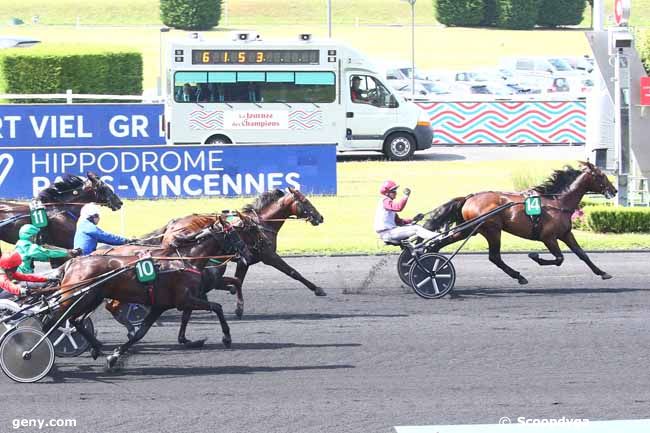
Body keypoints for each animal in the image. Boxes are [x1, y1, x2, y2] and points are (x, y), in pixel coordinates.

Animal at [52, 214, 246, 366]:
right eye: (233, 233)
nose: (245, 252)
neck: (185, 260)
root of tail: (73, 263)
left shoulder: (161, 305)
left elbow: (141, 333)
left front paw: (114, 356)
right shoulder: (185, 299)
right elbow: (217, 307)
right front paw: (226, 337)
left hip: (90, 298)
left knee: (77, 320)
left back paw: (96, 347)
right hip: (76, 298)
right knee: (59, 318)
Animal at [422, 161, 616, 284]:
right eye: (601, 175)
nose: (614, 190)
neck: (557, 202)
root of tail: (469, 198)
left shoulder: (566, 233)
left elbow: (582, 254)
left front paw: (602, 272)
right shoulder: (548, 237)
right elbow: (559, 258)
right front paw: (535, 256)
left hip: (469, 229)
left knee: (439, 243)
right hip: (492, 230)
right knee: (495, 257)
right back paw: (519, 276)